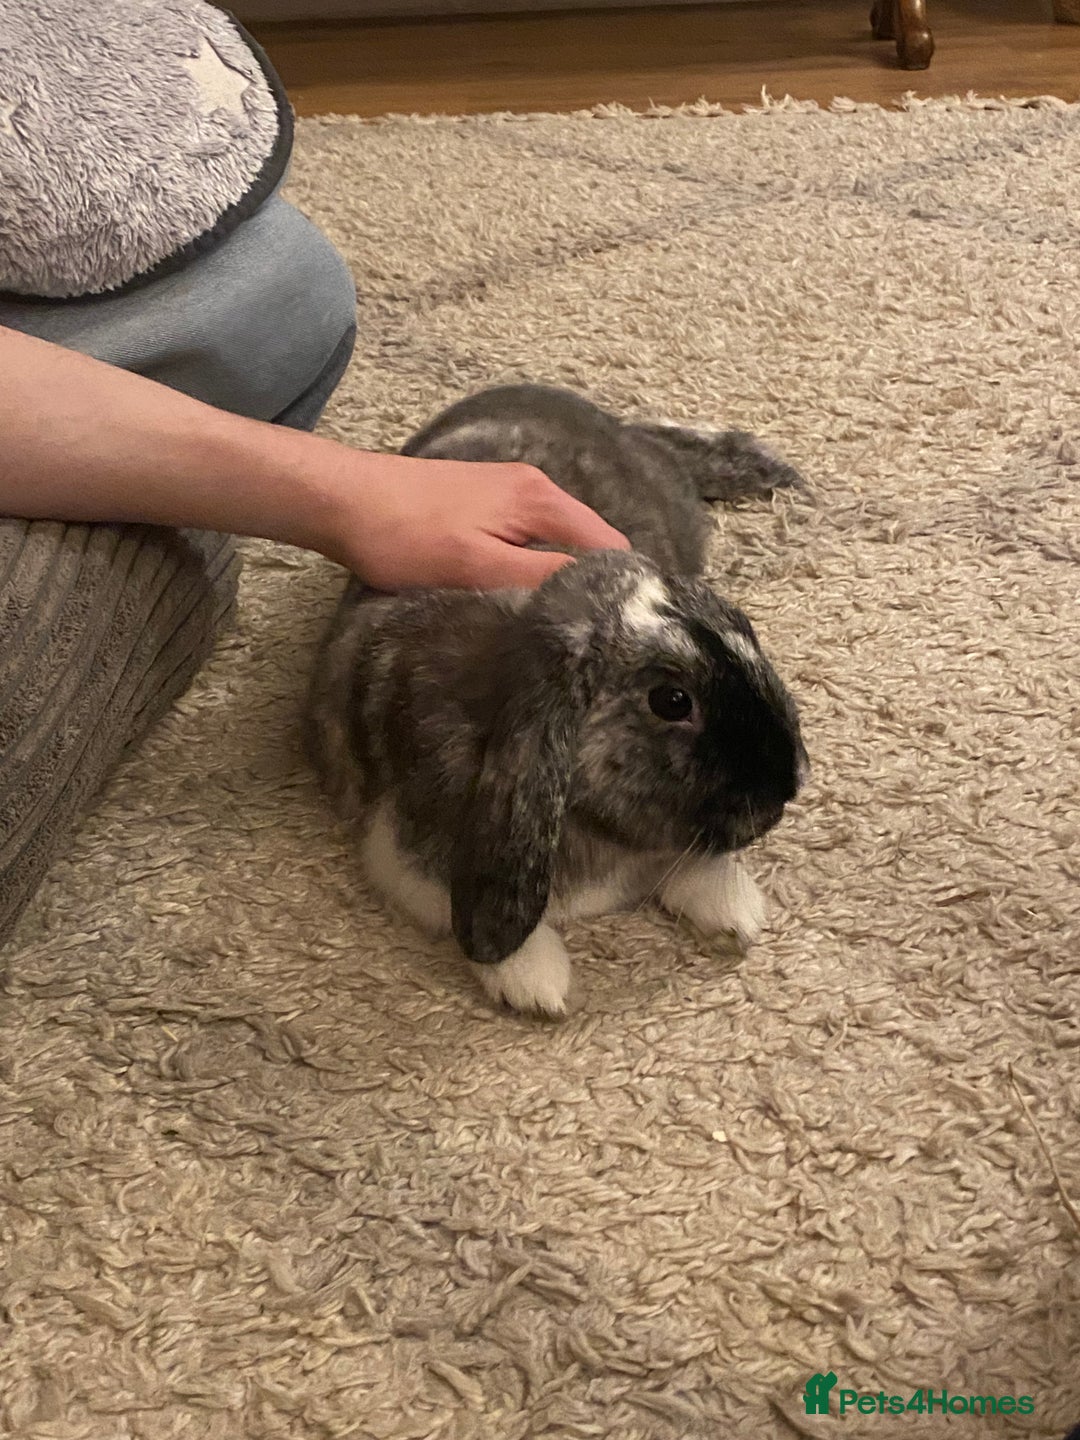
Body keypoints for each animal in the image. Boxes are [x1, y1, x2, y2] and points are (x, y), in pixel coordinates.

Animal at [305, 383, 809, 1016]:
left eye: (747, 632)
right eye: (672, 701)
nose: (785, 789)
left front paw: (733, 914)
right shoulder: (405, 856)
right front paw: (537, 987)